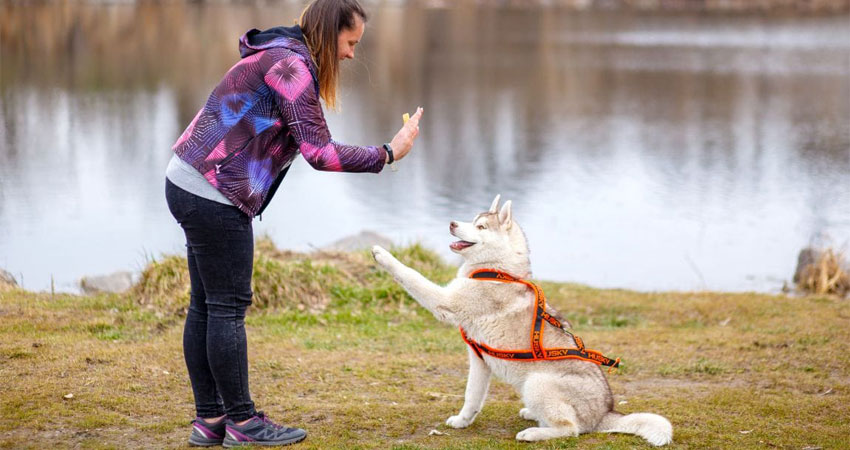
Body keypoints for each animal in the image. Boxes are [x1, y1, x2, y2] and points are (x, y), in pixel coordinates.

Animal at [370, 195, 668, 444]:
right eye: (472, 220)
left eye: (481, 227)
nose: (452, 223)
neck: (497, 271)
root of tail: (604, 414)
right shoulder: (479, 359)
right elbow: (471, 397)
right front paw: (463, 421)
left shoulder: (445, 301)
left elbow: (411, 275)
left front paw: (384, 255)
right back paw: (532, 415)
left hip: (537, 382)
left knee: (570, 429)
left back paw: (534, 433)